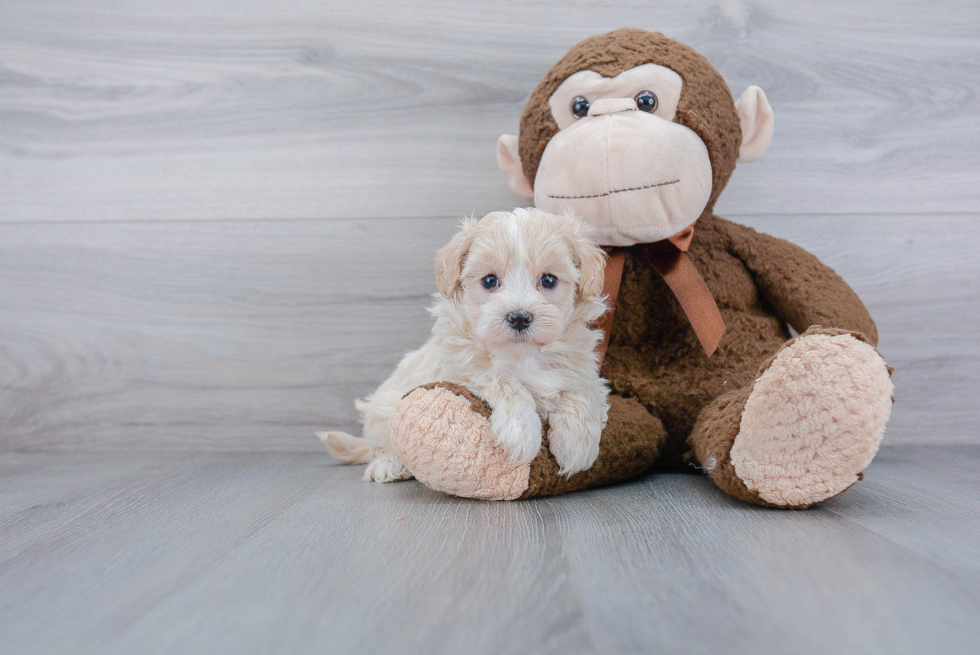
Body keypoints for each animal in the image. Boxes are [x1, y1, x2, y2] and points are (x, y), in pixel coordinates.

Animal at [322, 209, 608, 482]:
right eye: (489, 281)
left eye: (549, 280)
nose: (519, 317)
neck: (522, 354)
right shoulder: (461, 368)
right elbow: (505, 382)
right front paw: (521, 430)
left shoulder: (583, 368)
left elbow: (583, 390)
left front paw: (577, 445)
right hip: (384, 410)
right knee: (380, 446)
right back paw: (389, 464)